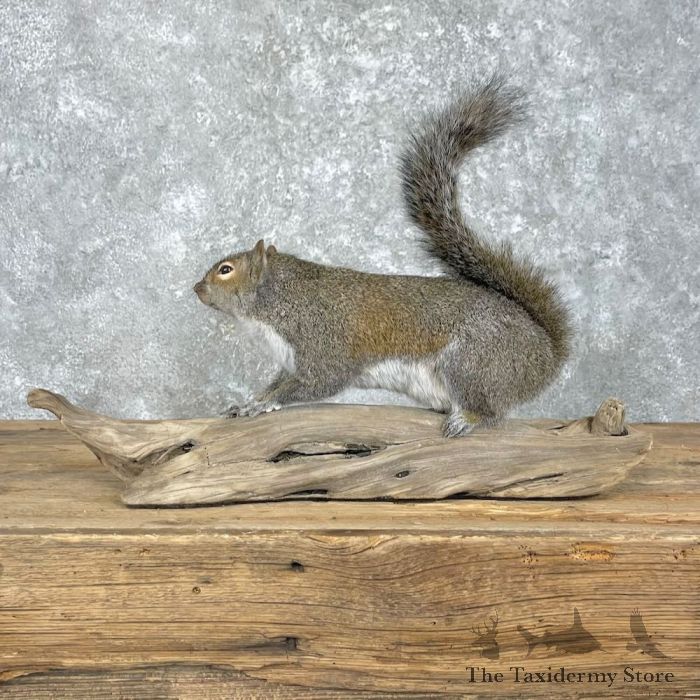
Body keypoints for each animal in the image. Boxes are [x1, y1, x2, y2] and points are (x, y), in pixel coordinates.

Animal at [194, 76, 571, 437]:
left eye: (225, 270)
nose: (196, 288)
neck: (281, 297)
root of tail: (546, 354)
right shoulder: (289, 361)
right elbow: (276, 382)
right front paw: (249, 402)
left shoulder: (322, 343)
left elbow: (315, 382)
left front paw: (264, 405)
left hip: (472, 364)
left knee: (492, 412)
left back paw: (467, 420)